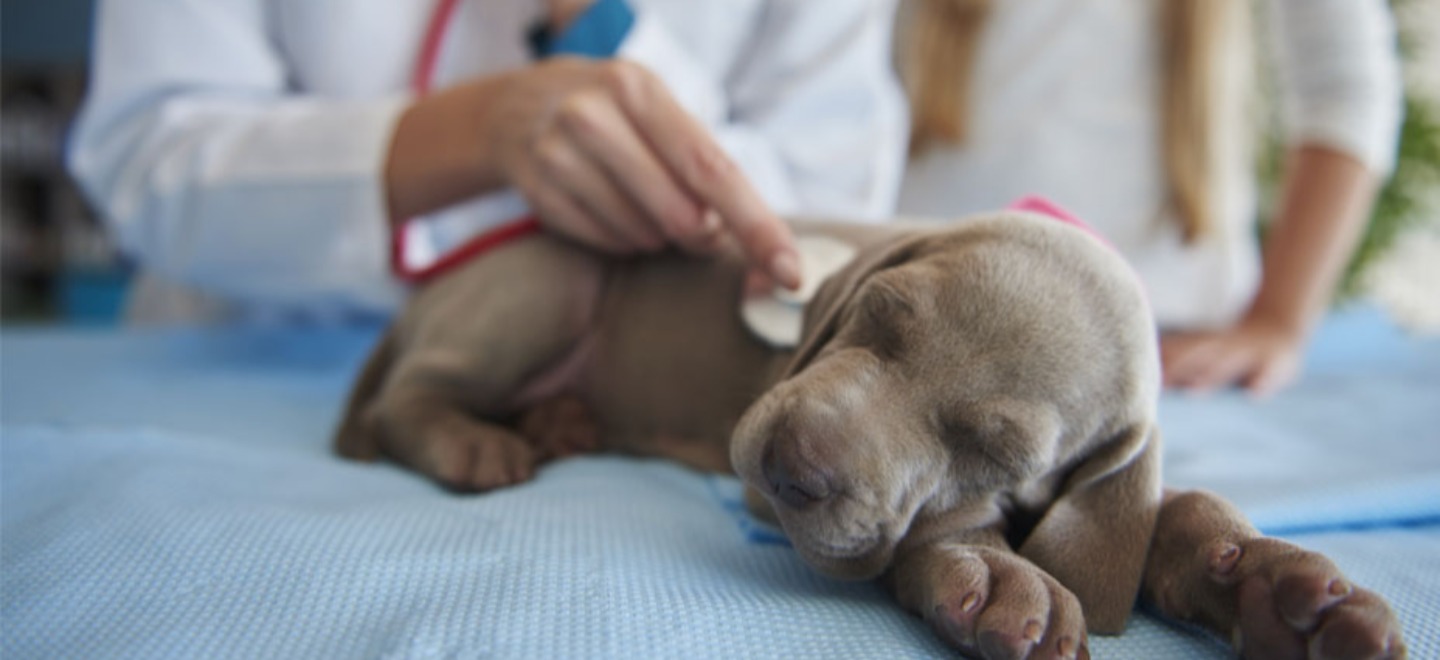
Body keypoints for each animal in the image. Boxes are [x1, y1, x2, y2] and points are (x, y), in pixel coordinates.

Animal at [331, 211, 1399, 660]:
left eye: (1000, 454)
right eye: (878, 316)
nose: (790, 468)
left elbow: (1162, 511)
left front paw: (1275, 590)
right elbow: (934, 537)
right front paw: (994, 572)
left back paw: (560, 420)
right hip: (549, 282)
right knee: (409, 398)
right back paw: (476, 442)